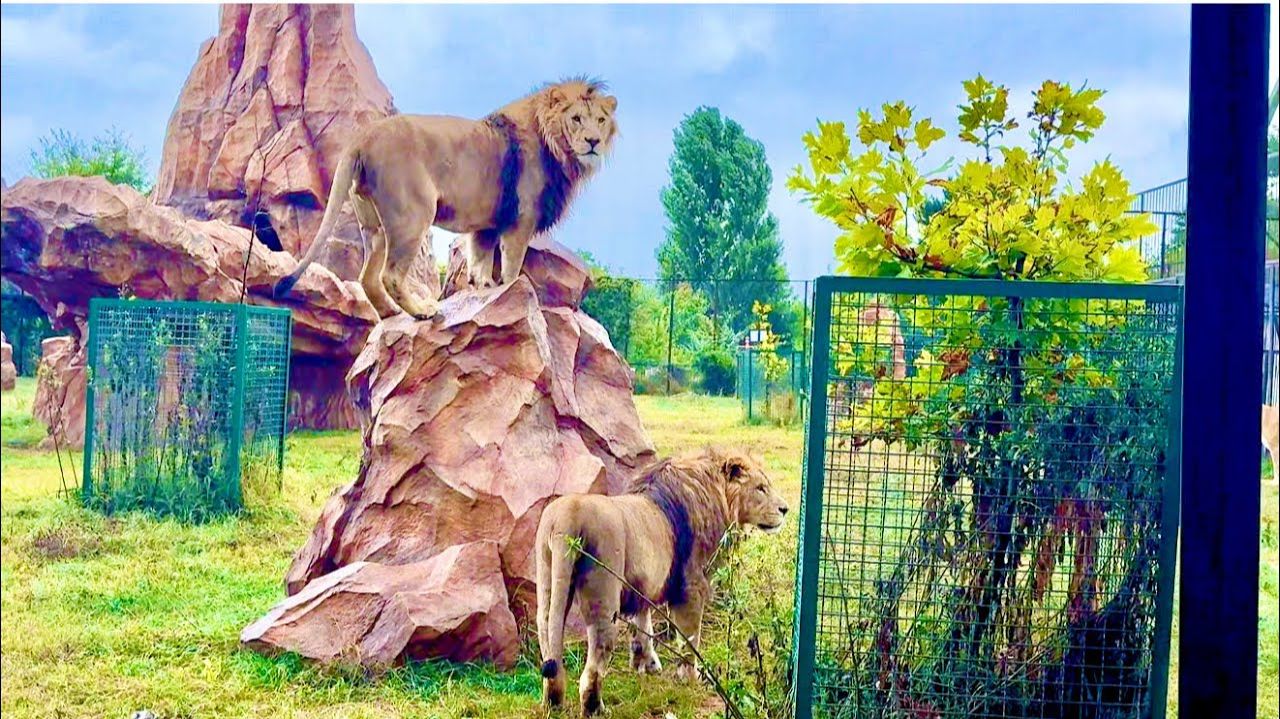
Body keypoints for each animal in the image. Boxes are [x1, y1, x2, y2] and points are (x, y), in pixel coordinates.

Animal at [271, 78, 619, 318]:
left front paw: (484, 290)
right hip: (413, 215)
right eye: (576, 118)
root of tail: (362, 137)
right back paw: (421, 312)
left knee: (367, 277)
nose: (593, 141)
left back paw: (388, 315)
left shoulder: (487, 224)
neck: (559, 152)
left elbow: (480, 262)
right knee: (390, 275)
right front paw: (512, 292)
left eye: (601, 120)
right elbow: (511, 267)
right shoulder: (520, 220)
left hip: (375, 225)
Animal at [534, 447, 789, 715]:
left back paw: (553, 703)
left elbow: (642, 625)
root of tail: (566, 518)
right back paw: (596, 709)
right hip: (604, 600)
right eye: (760, 488)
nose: (785, 509)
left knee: (549, 647)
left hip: (548, 581)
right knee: (592, 670)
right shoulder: (691, 585)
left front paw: (646, 664)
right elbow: (689, 638)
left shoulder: (642, 583)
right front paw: (689, 677)